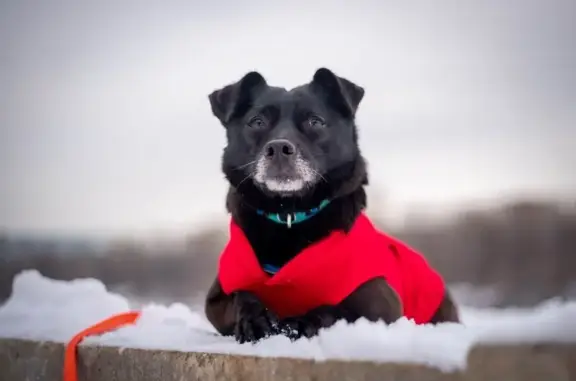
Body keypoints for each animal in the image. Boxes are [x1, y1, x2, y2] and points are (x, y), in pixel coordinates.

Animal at [204, 69, 460, 344]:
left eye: (315, 121)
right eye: (257, 122)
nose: (279, 148)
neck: (289, 214)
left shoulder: (381, 304)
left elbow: (334, 309)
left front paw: (301, 321)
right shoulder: (218, 297)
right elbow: (242, 296)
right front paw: (255, 319)